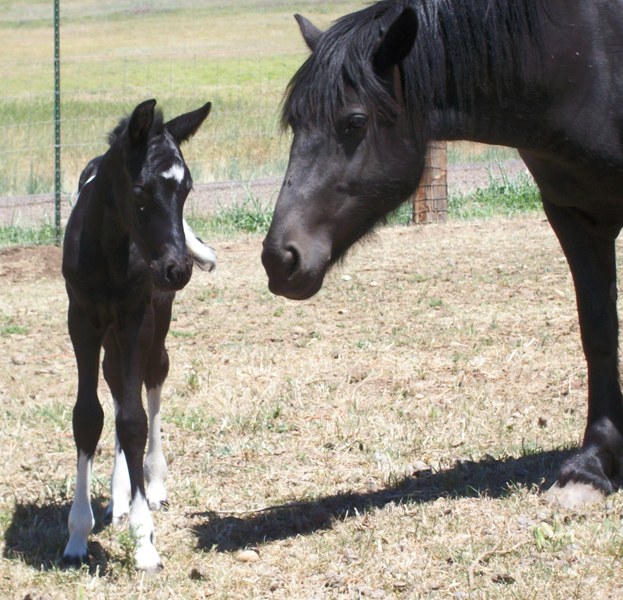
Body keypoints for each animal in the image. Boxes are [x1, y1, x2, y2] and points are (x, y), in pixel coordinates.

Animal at [61, 99, 212, 572]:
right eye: (141, 191)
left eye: (187, 190)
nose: (177, 269)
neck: (108, 249)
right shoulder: (81, 321)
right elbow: (89, 416)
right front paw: (77, 536)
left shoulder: (137, 319)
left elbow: (134, 419)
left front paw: (145, 541)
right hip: (109, 335)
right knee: (114, 383)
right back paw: (118, 497)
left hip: (153, 329)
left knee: (152, 381)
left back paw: (153, 485)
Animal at [262, 0, 623, 508]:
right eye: (295, 123)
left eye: (355, 122)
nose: (280, 258)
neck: (583, 58)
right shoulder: (572, 215)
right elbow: (599, 333)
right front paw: (593, 465)